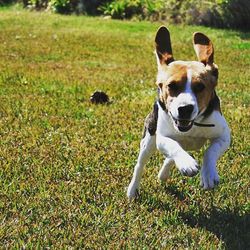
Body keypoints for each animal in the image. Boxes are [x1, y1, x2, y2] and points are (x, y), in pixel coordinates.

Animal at [127, 24, 230, 197]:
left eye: (200, 87)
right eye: (171, 86)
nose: (185, 109)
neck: (193, 125)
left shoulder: (224, 135)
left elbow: (211, 150)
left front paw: (208, 174)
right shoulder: (161, 138)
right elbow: (172, 145)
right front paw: (187, 163)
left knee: (170, 157)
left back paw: (164, 174)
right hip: (149, 139)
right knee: (140, 165)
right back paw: (132, 190)